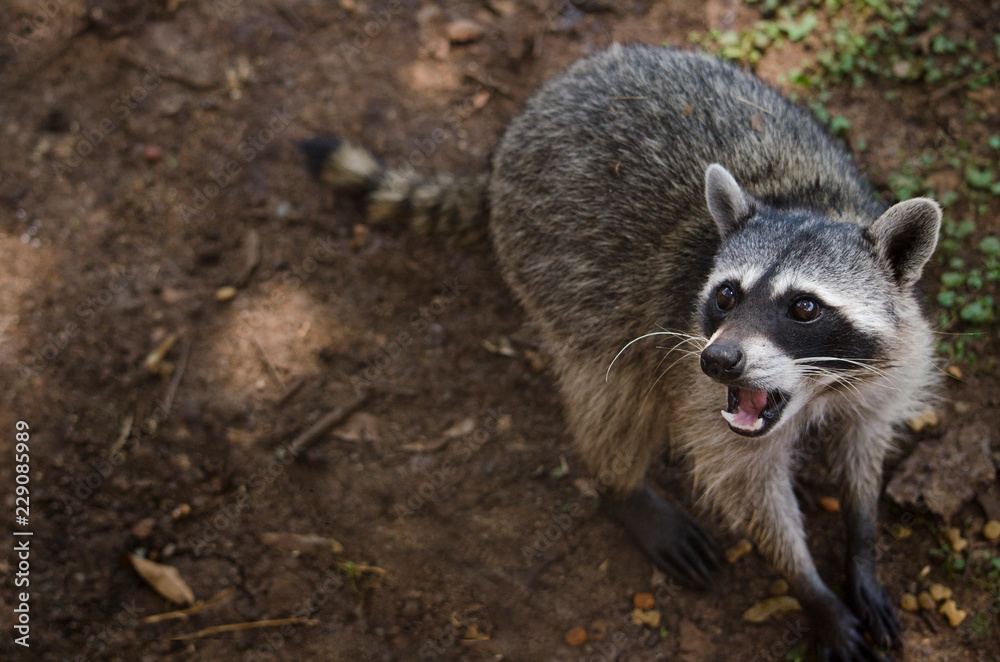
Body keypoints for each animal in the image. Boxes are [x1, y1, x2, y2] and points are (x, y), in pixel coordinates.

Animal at [301, 45, 941, 660]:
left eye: (804, 308)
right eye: (727, 295)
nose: (721, 361)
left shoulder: (892, 360)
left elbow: (864, 445)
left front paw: (862, 542)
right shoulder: (695, 376)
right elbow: (745, 486)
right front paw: (810, 589)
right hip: (559, 265)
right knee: (610, 392)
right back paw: (622, 488)